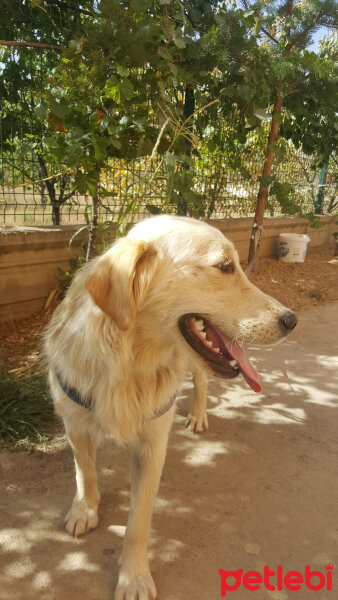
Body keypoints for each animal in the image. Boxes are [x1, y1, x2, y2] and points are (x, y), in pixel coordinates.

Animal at [44, 216, 296, 600]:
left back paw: (198, 414)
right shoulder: (75, 424)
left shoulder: (153, 445)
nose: (292, 320)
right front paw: (85, 509)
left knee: (202, 381)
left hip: (196, 365)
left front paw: (133, 577)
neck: (130, 363)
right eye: (225, 267)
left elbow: (138, 522)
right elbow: (85, 472)